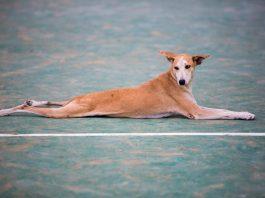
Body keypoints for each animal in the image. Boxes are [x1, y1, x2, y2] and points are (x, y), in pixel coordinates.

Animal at [0, 50, 256, 120]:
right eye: (176, 67)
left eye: (188, 66)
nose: (183, 80)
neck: (173, 80)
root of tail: (80, 98)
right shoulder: (197, 113)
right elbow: (225, 112)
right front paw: (244, 114)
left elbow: (223, 108)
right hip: (67, 112)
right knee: (29, 109)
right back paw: (9, 110)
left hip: (70, 105)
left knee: (48, 102)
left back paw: (31, 100)